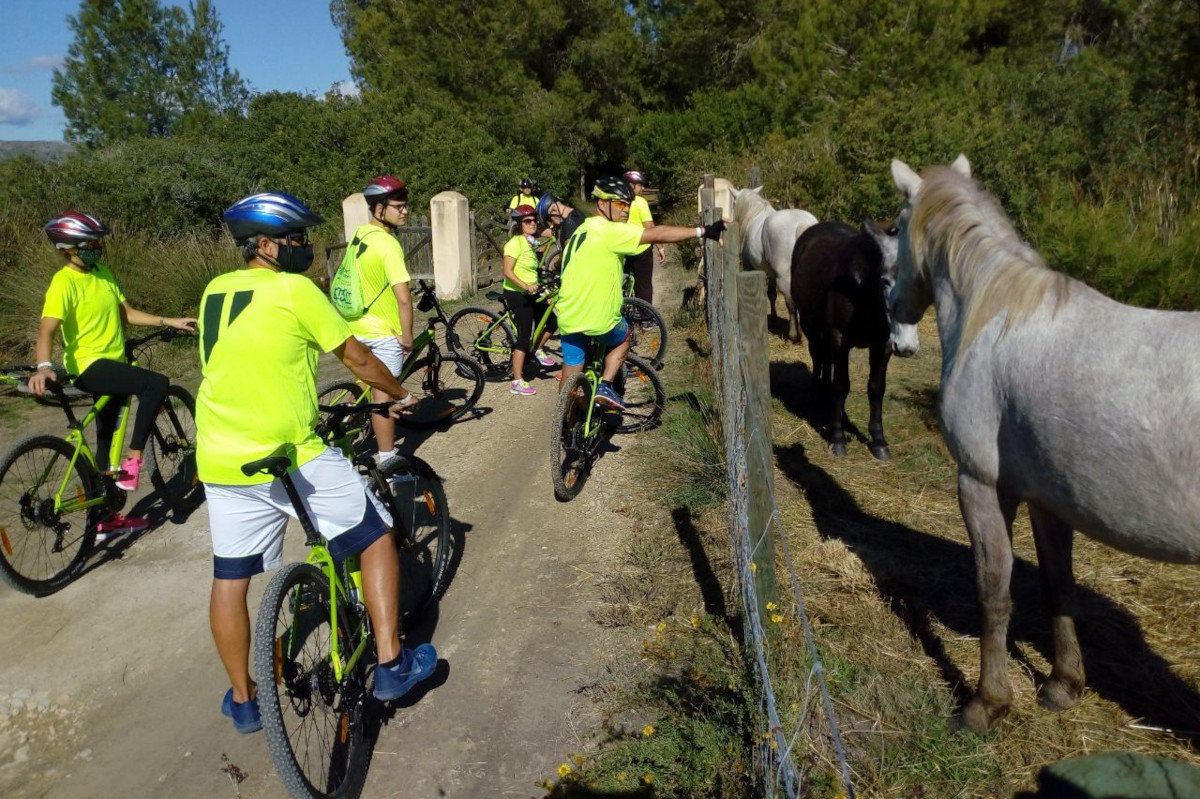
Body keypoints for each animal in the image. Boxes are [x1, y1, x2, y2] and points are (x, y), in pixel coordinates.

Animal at [724, 185, 820, 338]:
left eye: (733, 203)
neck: (754, 214)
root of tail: (802, 224)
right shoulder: (772, 274)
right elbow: (772, 294)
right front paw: (774, 320)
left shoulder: (749, 266)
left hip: (785, 278)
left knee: (791, 303)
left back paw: (794, 335)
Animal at [888, 152, 1200, 729]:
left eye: (895, 229)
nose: (896, 313)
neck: (996, 315)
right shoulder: (1049, 498)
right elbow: (1058, 586)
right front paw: (1063, 684)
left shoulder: (981, 485)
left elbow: (994, 592)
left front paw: (986, 703)